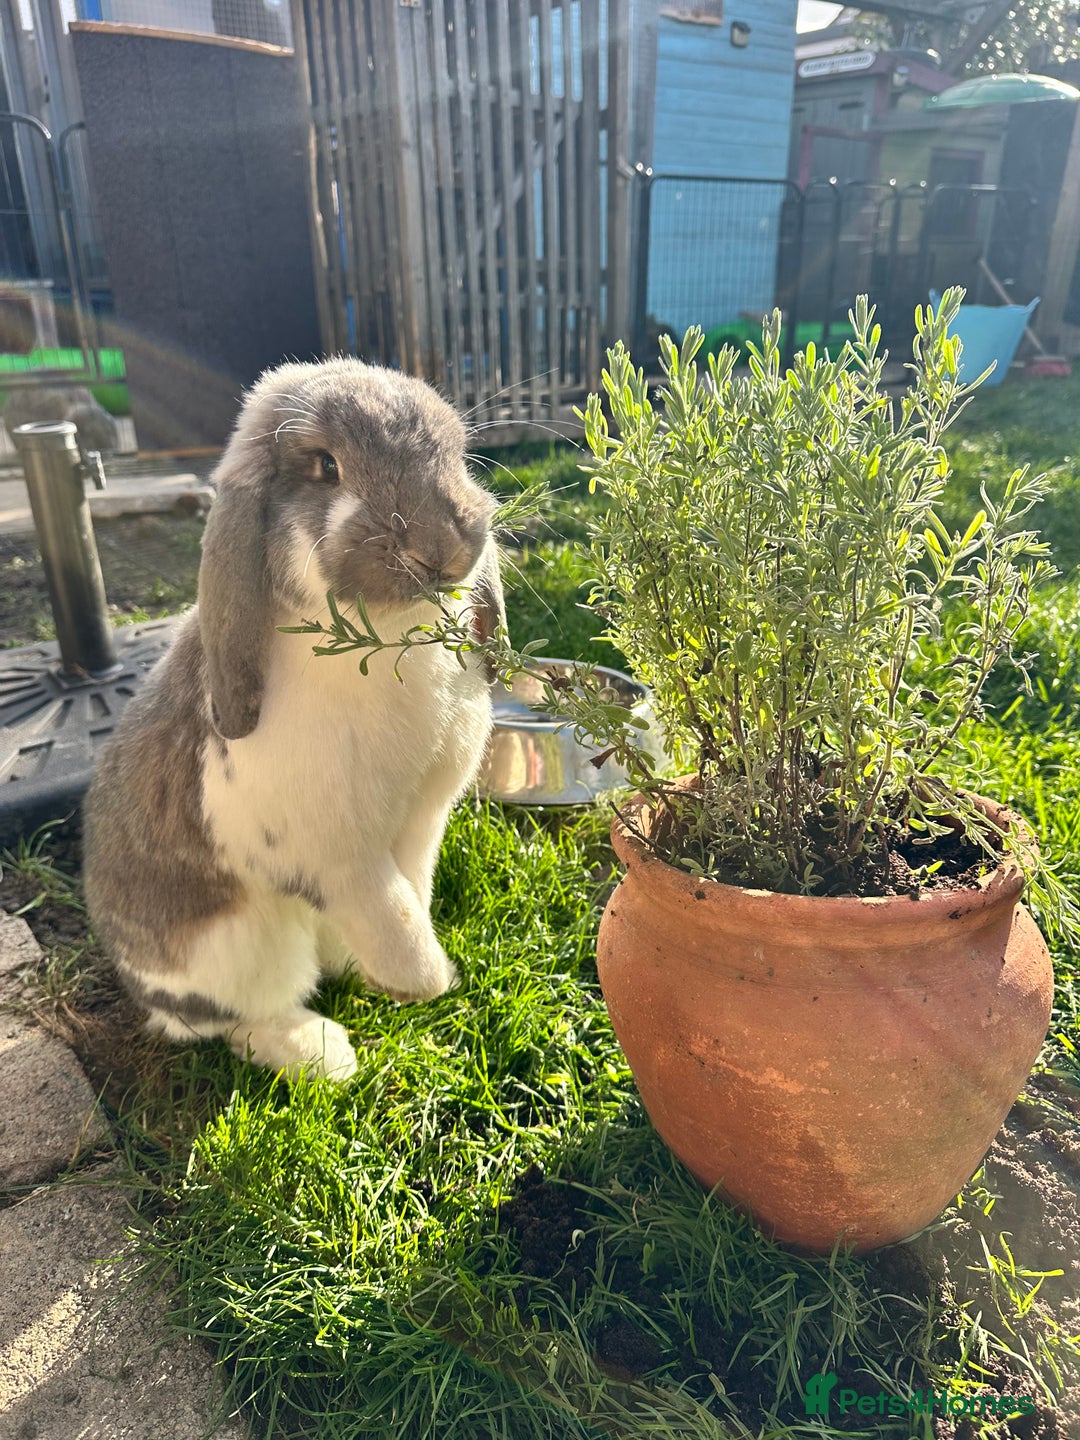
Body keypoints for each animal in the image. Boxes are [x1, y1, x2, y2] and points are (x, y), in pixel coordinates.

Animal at [82, 358, 504, 1081]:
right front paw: (424, 982)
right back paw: (321, 1053)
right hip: (237, 948)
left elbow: (412, 893)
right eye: (325, 467)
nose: (445, 550)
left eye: (455, 451)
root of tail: (140, 989)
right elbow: (391, 909)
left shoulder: (423, 823)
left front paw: (406, 975)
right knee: (230, 1020)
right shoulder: (334, 856)